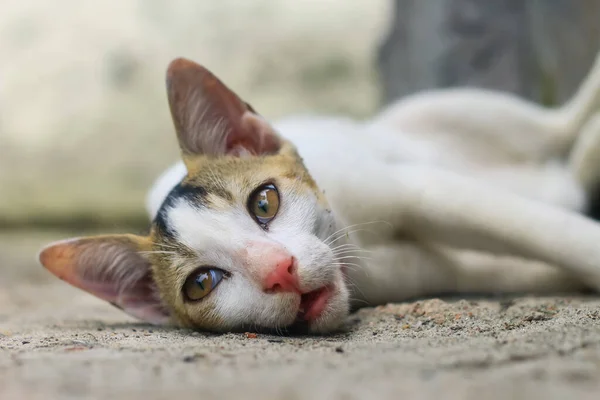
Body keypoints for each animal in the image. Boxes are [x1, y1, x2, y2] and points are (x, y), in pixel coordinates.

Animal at [39, 54, 600, 334]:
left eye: (264, 202)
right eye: (201, 284)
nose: (279, 270)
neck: (359, 253)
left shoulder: (419, 190)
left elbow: (535, 228)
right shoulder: (442, 270)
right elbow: (509, 265)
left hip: (448, 112)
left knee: (555, 125)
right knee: (565, 170)